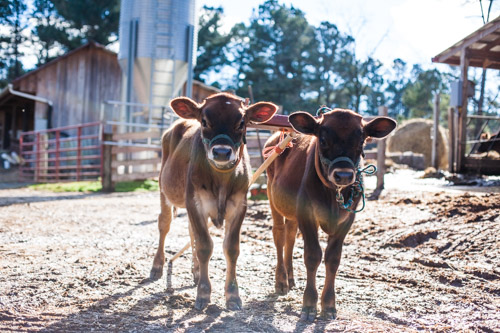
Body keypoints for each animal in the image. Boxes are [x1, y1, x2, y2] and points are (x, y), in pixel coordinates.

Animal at [266, 108, 394, 320]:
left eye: (361, 141)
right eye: (323, 140)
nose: (343, 175)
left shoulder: (347, 220)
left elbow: (333, 259)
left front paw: (328, 305)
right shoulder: (307, 214)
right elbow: (312, 256)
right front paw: (309, 303)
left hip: (292, 210)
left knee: (290, 237)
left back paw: (291, 278)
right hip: (272, 197)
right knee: (279, 235)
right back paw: (281, 281)